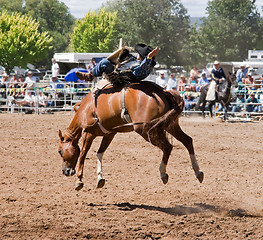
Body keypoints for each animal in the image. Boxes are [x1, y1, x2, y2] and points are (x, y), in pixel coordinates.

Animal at [58, 81, 205, 190]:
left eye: (60, 151)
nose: (65, 171)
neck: (86, 109)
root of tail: (163, 92)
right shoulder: (110, 133)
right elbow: (100, 153)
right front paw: (100, 178)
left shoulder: (89, 133)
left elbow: (83, 154)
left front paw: (79, 180)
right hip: (170, 125)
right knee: (187, 140)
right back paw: (198, 171)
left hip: (146, 129)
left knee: (168, 147)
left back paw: (163, 173)